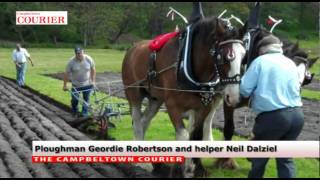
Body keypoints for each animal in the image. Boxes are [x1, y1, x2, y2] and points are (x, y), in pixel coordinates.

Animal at [122, 16, 245, 177]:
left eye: (244, 56)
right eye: (224, 57)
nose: (234, 96)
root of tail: (133, 48)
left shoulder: (204, 107)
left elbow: (196, 137)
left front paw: (192, 168)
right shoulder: (172, 105)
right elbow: (183, 136)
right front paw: (179, 171)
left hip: (156, 99)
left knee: (144, 122)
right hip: (133, 93)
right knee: (137, 122)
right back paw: (142, 163)